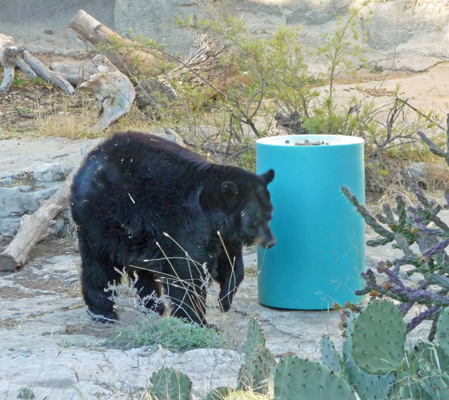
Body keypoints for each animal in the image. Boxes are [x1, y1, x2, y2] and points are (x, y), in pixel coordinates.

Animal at [70, 131, 274, 324]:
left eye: (270, 214)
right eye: (256, 221)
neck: (211, 213)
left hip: (134, 237)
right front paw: (197, 319)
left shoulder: (223, 236)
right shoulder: (186, 225)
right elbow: (187, 271)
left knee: (140, 271)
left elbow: (231, 264)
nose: (271, 242)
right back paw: (103, 312)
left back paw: (153, 306)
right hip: (101, 221)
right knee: (99, 267)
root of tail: (87, 162)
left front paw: (224, 300)